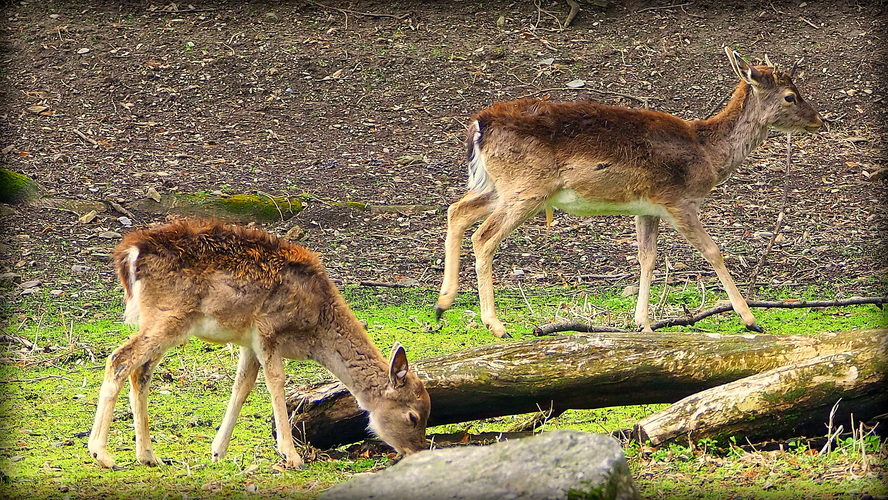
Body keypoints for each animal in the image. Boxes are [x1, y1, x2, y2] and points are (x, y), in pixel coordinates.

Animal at [87, 219, 430, 468]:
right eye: (413, 416)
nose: (416, 452)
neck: (316, 326)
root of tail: (129, 254)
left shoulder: (248, 341)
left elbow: (242, 386)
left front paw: (218, 451)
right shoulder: (268, 328)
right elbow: (275, 381)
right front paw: (291, 456)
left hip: (162, 323)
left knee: (140, 372)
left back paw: (148, 455)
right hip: (168, 317)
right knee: (119, 359)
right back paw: (101, 454)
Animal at [434, 47, 824, 336]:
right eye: (791, 96)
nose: (820, 120)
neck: (707, 153)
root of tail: (480, 124)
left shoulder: (647, 207)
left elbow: (647, 258)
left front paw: (643, 324)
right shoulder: (678, 199)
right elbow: (713, 251)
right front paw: (750, 319)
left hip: (500, 186)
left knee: (457, 210)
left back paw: (443, 303)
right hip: (527, 187)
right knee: (484, 235)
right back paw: (495, 325)